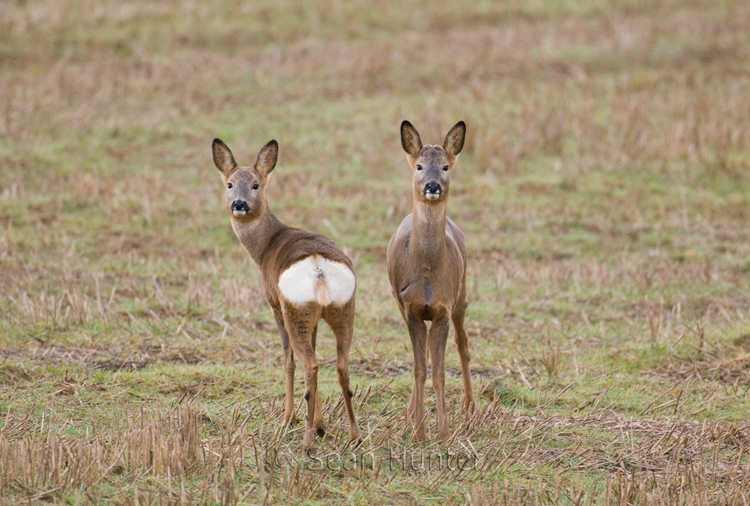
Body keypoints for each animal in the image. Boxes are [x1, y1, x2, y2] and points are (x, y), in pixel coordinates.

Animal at [212, 136, 364, 448]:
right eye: (230, 184)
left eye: (255, 184)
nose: (239, 204)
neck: (267, 245)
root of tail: (318, 266)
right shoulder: (316, 319)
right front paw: (320, 423)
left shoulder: (274, 305)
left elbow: (287, 360)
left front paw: (289, 418)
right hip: (343, 310)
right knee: (340, 364)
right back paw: (353, 435)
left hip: (295, 312)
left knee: (308, 364)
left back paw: (306, 439)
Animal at [388, 119, 476, 438]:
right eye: (420, 165)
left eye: (446, 166)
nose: (432, 186)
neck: (426, 272)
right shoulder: (411, 309)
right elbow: (420, 369)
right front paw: (418, 430)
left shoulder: (442, 309)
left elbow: (438, 372)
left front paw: (443, 432)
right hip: (398, 302)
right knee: (425, 355)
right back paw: (411, 414)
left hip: (461, 296)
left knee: (463, 345)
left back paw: (470, 408)